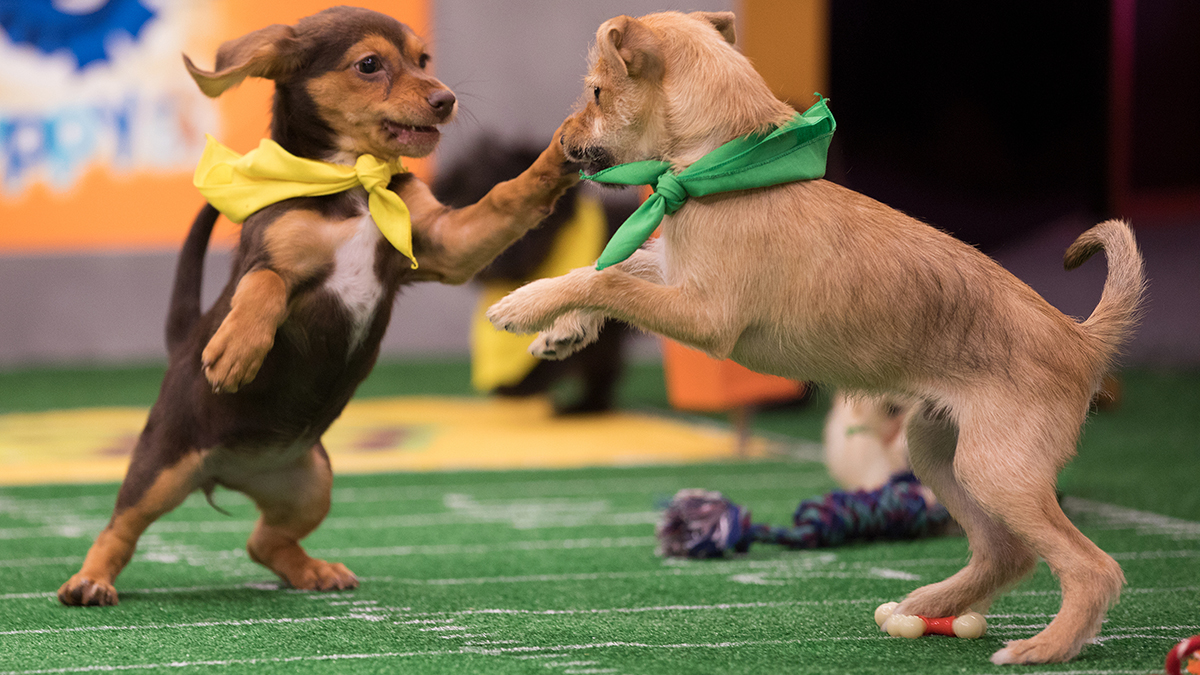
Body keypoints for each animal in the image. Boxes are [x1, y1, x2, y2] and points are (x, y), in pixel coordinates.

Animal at [59, 5, 576, 605]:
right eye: (369, 65)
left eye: (423, 59)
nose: (446, 99)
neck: (351, 178)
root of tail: (226, 470)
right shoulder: (274, 259)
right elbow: (264, 286)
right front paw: (237, 350)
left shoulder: (447, 242)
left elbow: (507, 197)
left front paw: (559, 153)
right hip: (161, 467)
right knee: (120, 526)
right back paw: (90, 580)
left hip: (312, 483)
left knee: (262, 542)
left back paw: (313, 571)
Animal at [487, 10, 1142, 662]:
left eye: (597, 92)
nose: (561, 144)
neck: (722, 168)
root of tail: (1081, 338)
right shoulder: (675, 276)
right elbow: (614, 270)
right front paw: (561, 332)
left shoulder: (703, 314)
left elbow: (606, 280)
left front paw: (525, 303)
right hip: (940, 452)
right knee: (1007, 553)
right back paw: (926, 604)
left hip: (995, 471)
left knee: (1092, 567)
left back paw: (1043, 648)